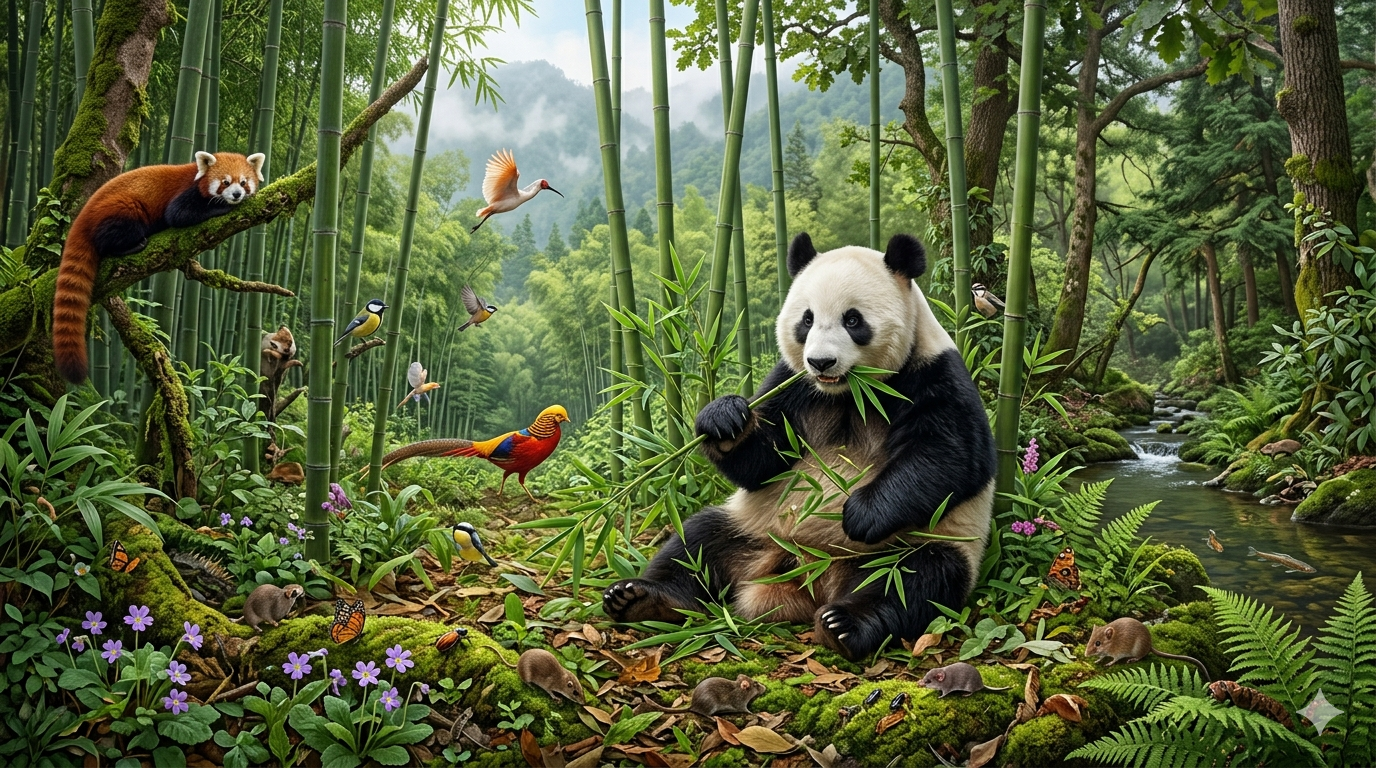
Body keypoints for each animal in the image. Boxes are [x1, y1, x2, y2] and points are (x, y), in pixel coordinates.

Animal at [603, 233, 996, 659]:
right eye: (806, 319)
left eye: (852, 320)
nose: (821, 362)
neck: (849, 393)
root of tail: (810, 575)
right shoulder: (793, 384)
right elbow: (761, 460)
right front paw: (724, 420)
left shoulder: (932, 374)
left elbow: (950, 456)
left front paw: (859, 514)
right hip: (753, 526)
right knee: (697, 542)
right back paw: (640, 598)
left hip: (918, 544)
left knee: (917, 578)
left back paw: (845, 625)